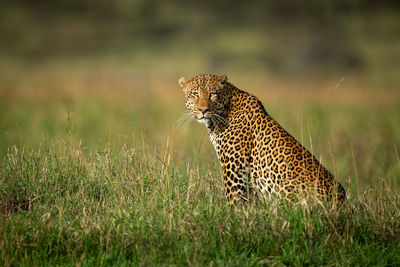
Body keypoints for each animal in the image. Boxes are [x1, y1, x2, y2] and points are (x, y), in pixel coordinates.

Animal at [180, 73, 346, 205]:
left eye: (212, 94)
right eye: (195, 94)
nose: (203, 110)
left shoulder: (234, 168)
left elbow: (233, 199)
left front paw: (232, 218)